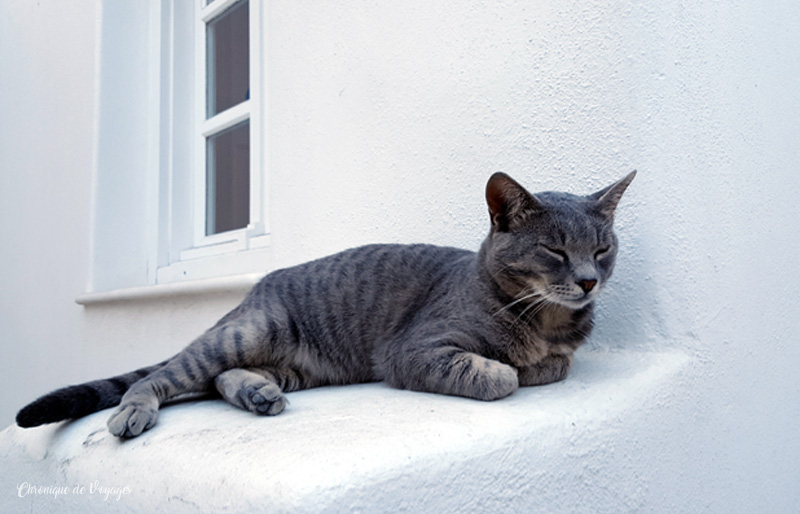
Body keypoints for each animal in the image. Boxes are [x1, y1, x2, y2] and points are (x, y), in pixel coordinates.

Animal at [15, 172, 636, 436]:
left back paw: (258, 394)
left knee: (216, 380)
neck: (545, 320)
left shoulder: (559, 354)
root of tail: (253, 291)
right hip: (246, 333)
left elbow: (554, 366)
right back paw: (134, 411)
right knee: (163, 376)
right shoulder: (415, 350)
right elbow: (501, 375)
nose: (588, 282)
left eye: (602, 250)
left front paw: (538, 361)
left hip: (295, 367)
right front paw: (510, 367)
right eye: (555, 250)